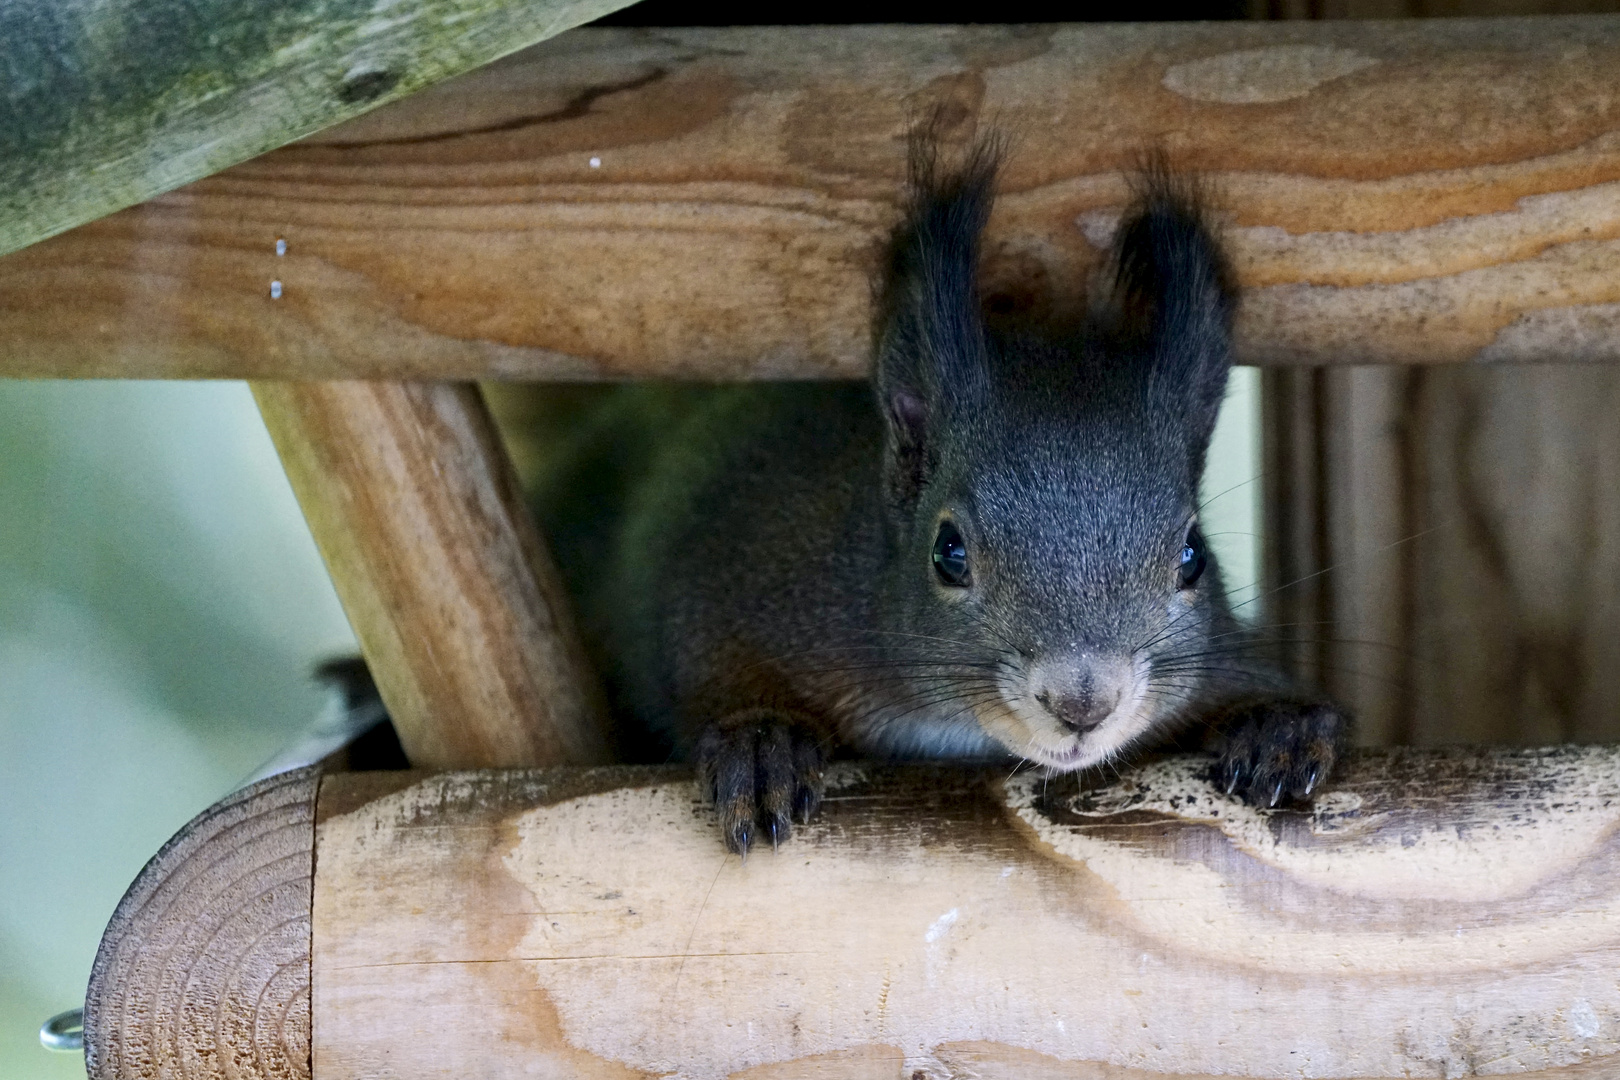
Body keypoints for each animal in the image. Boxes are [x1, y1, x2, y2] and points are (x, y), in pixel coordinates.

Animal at [515, 135, 1341, 854]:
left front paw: (1274, 725)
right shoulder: (737, 556)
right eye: (948, 553)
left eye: (1193, 557)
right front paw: (762, 738)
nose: (1082, 703)